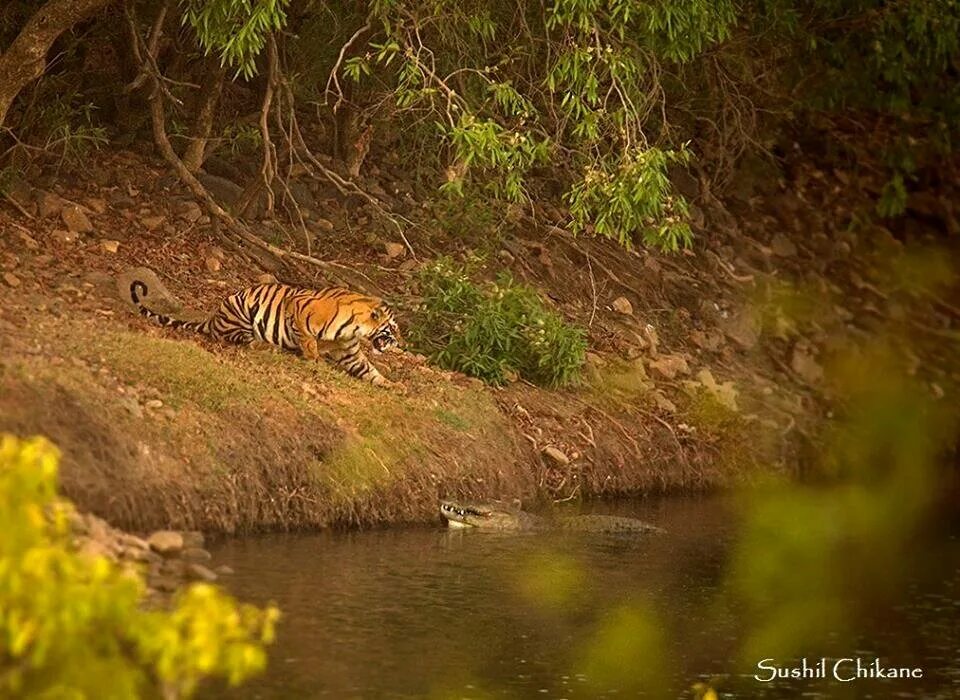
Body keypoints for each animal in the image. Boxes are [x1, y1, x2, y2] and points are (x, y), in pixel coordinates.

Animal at [128, 278, 402, 388]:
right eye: (392, 330)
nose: (399, 345)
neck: (356, 330)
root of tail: (213, 318)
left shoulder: (350, 353)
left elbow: (370, 371)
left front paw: (394, 386)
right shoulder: (300, 308)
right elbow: (308, 340)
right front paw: (314, 359)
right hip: (241, 312)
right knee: (244, 341)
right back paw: (270, 346)